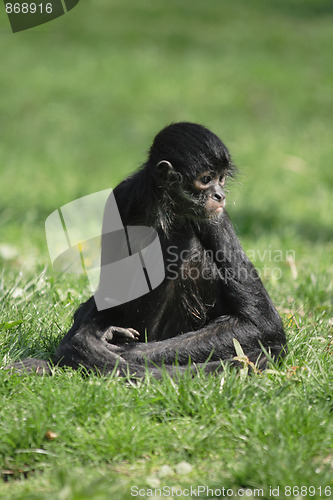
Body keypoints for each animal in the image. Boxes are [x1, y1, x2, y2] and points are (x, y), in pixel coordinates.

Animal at [10, 124, 286, 376]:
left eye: (222, 178)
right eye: (206, 179)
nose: (220, 195)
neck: (163, 210)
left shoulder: (213, 217)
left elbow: (262, 324)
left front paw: (107, 352)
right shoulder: (122, 196)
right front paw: (84, 340)